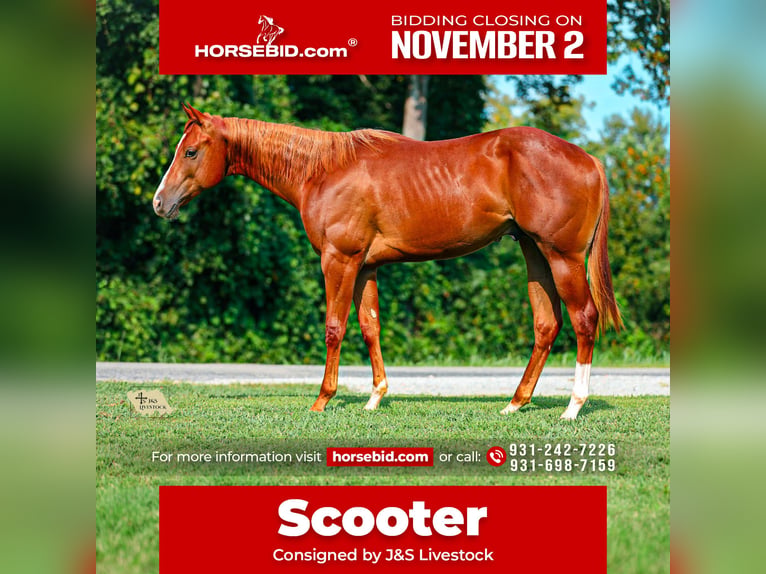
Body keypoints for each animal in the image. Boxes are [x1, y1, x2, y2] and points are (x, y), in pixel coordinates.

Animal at [153, 103, 623, 419]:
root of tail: (589, 159)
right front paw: (375, 396)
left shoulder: (339, 261)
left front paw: (323, 399)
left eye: (191, 152)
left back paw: (572, 407)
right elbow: (370, 327)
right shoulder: (366, 267)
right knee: (547, 325)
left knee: (584, 320)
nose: (159, 203)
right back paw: (515, 403)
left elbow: (335, 328)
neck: (322, 171)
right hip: (534, 253)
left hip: (561, 257)